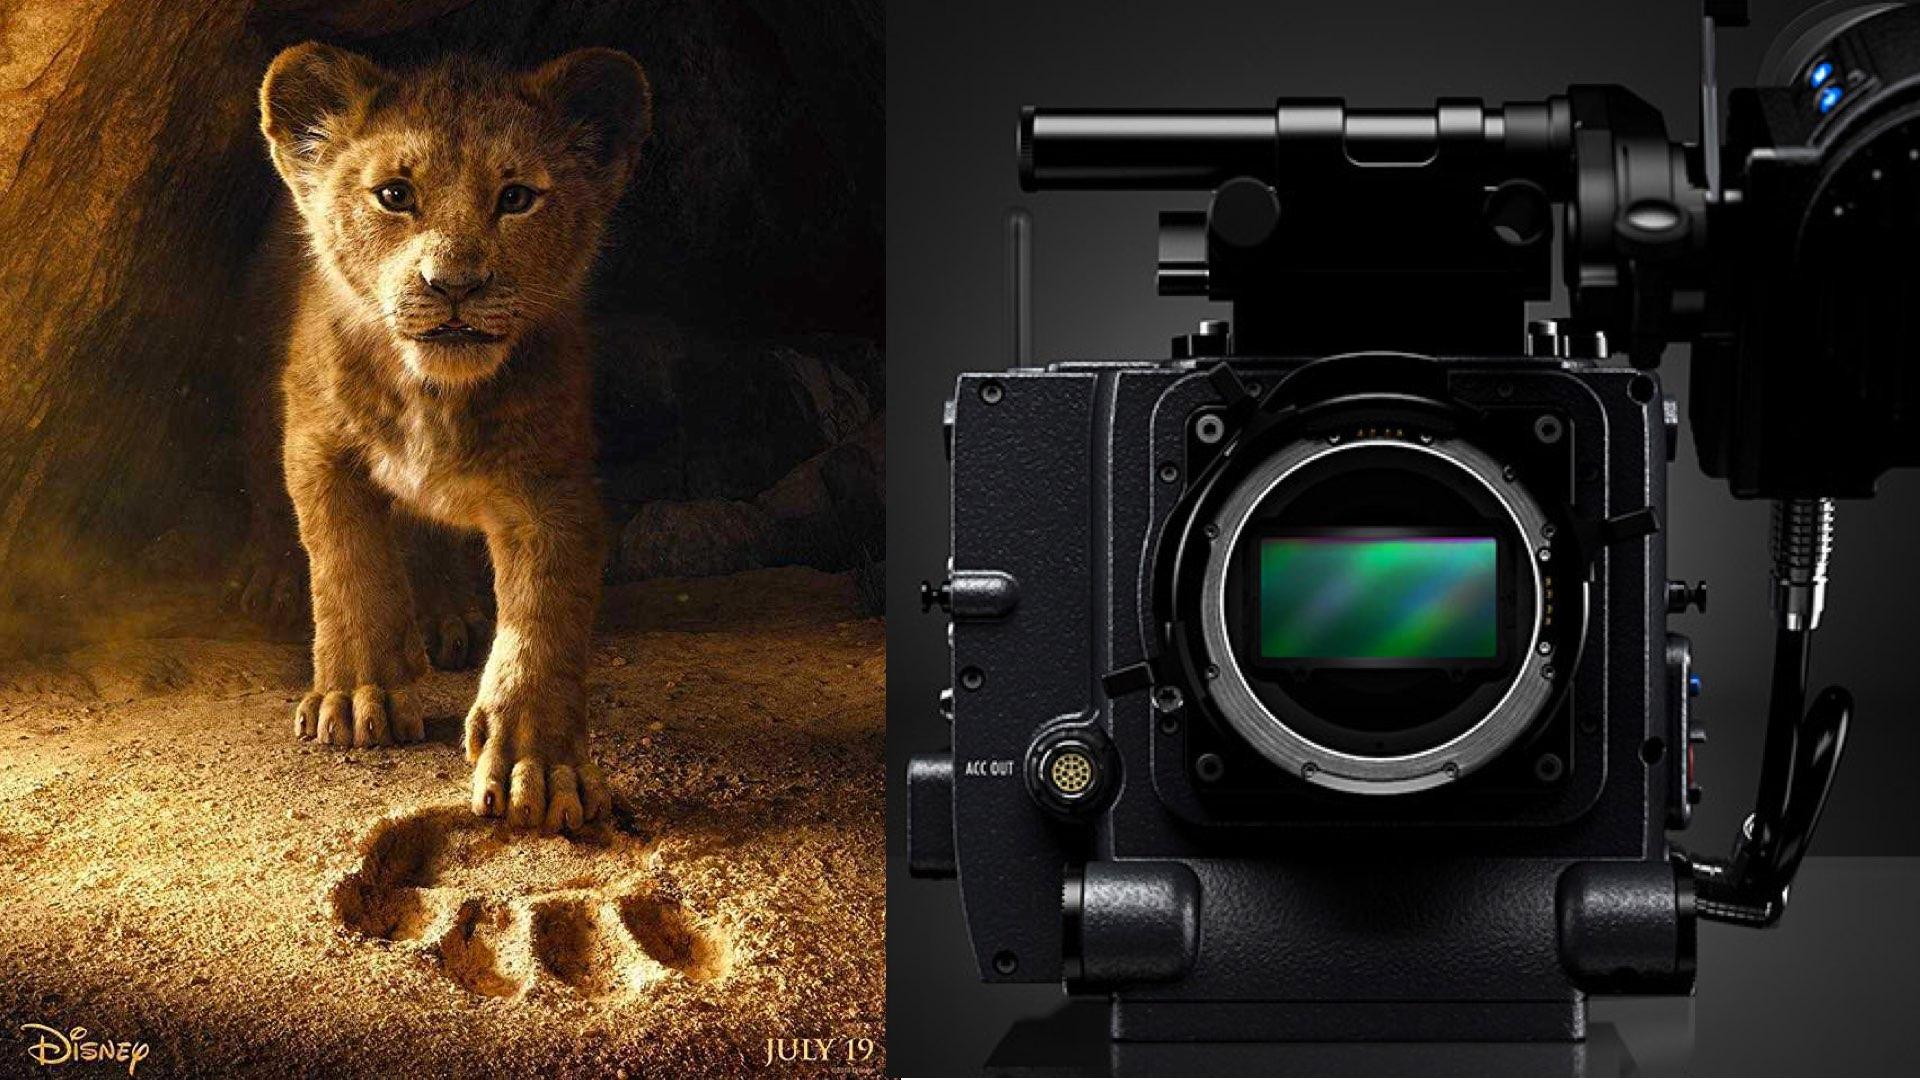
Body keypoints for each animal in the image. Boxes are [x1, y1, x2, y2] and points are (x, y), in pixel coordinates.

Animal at [256, 42, 651, 832]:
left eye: (517, 197)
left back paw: (447, 618)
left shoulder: (552, 485)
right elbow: (348, 566)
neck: (434, 393)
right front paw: (358, 696)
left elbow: (544, 617)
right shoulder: (317, 444)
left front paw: (540, 765)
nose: (455, 285)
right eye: (394, 195)